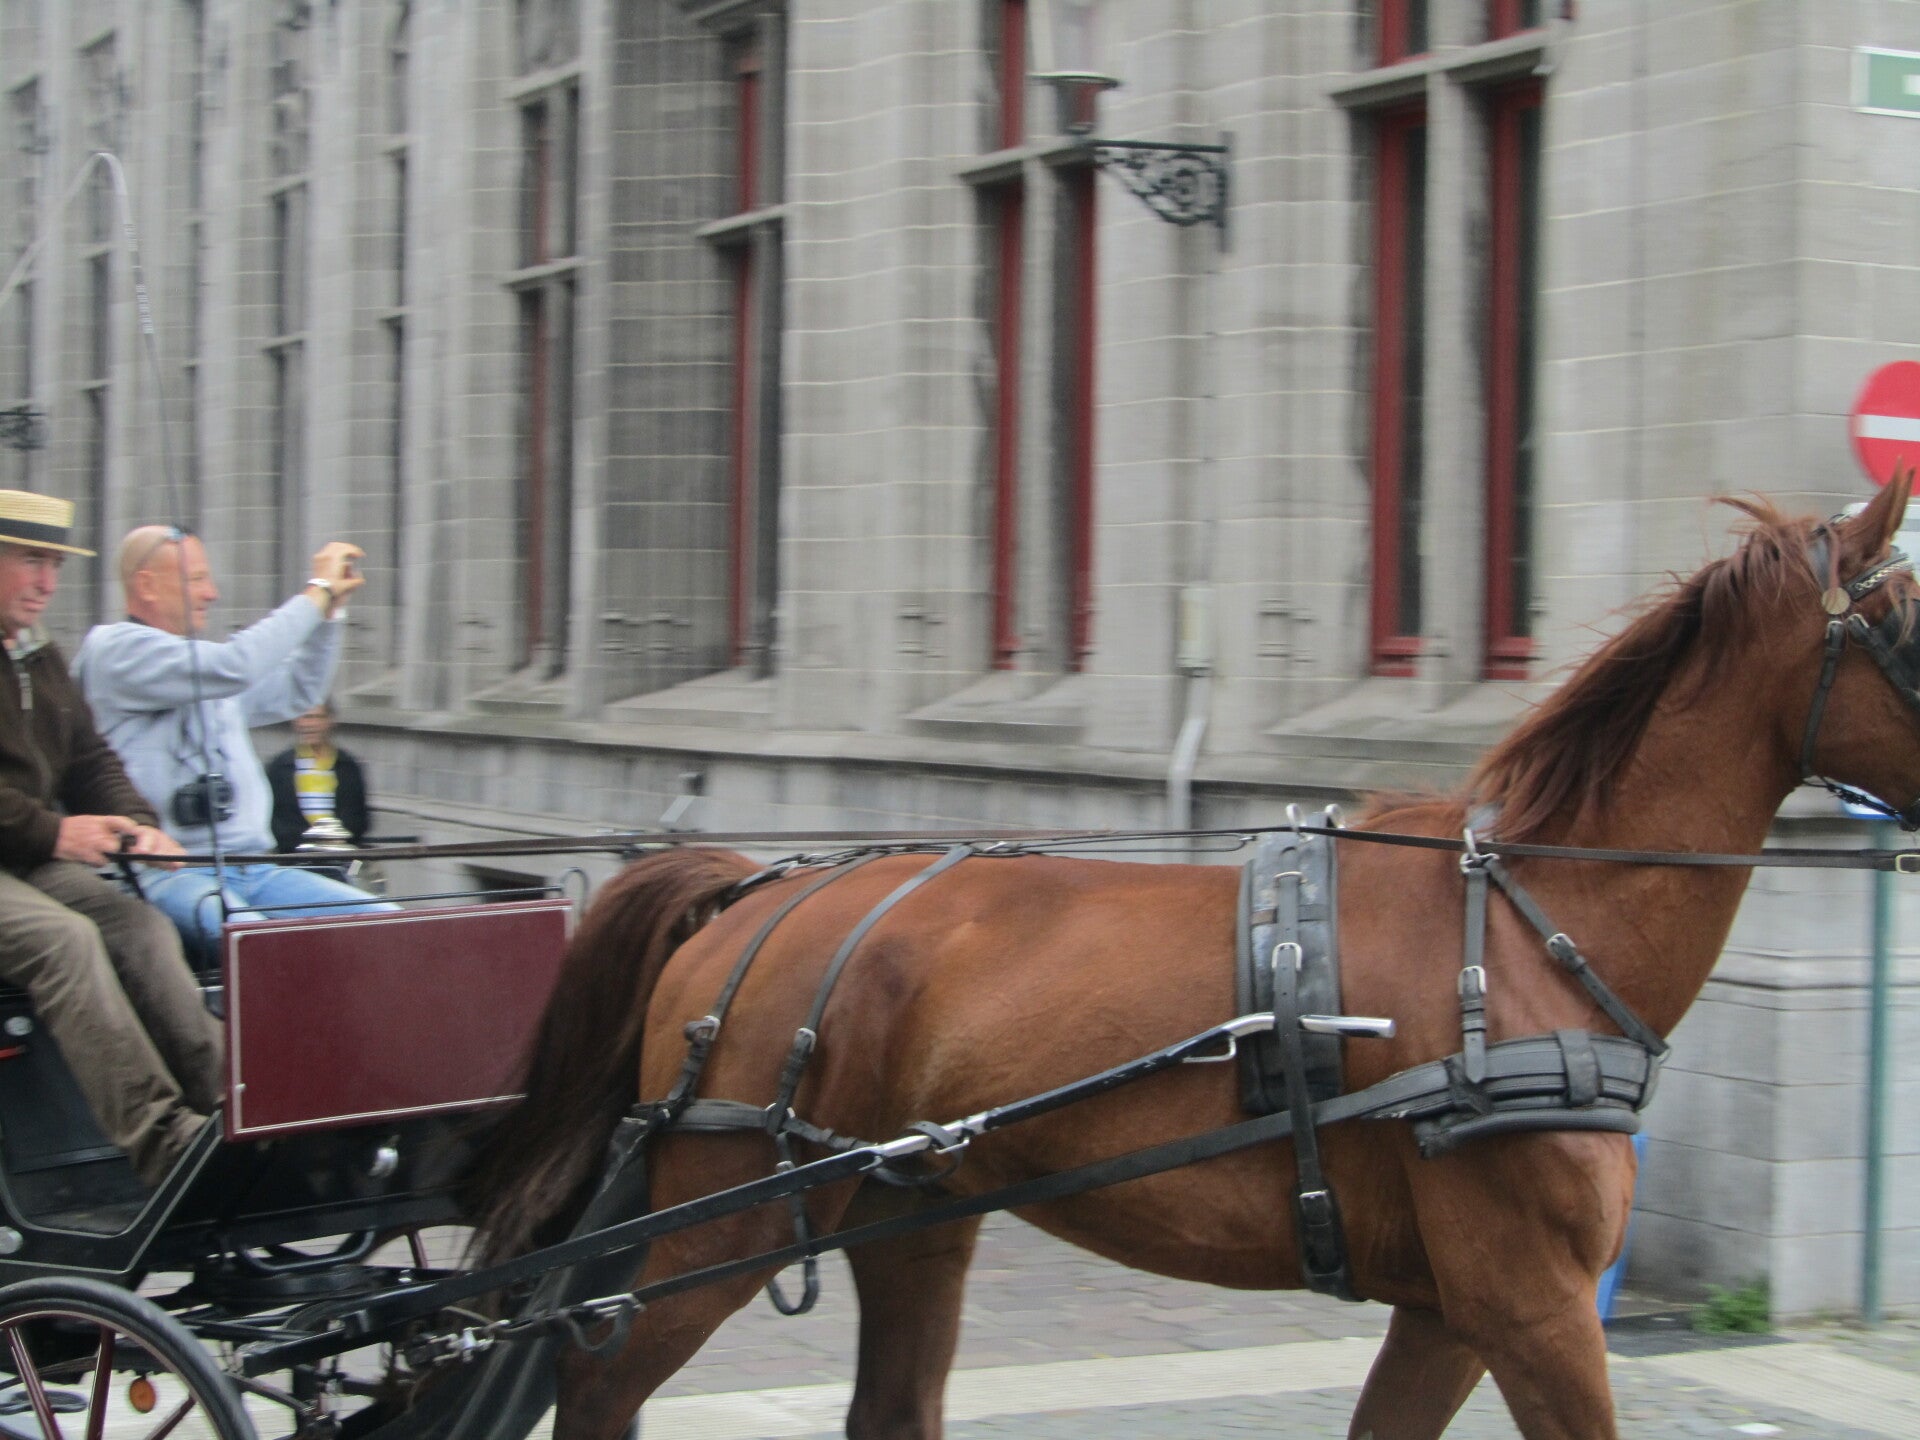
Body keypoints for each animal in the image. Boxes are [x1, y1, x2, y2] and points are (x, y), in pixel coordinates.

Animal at [471, 477, 1920, 1440]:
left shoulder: (1454, 1309)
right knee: (596, 1383)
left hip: (907, 1216)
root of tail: (757, 892)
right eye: (1912, 620)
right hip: (729, 1213)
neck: (1527, 929)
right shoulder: (1531, 1303)